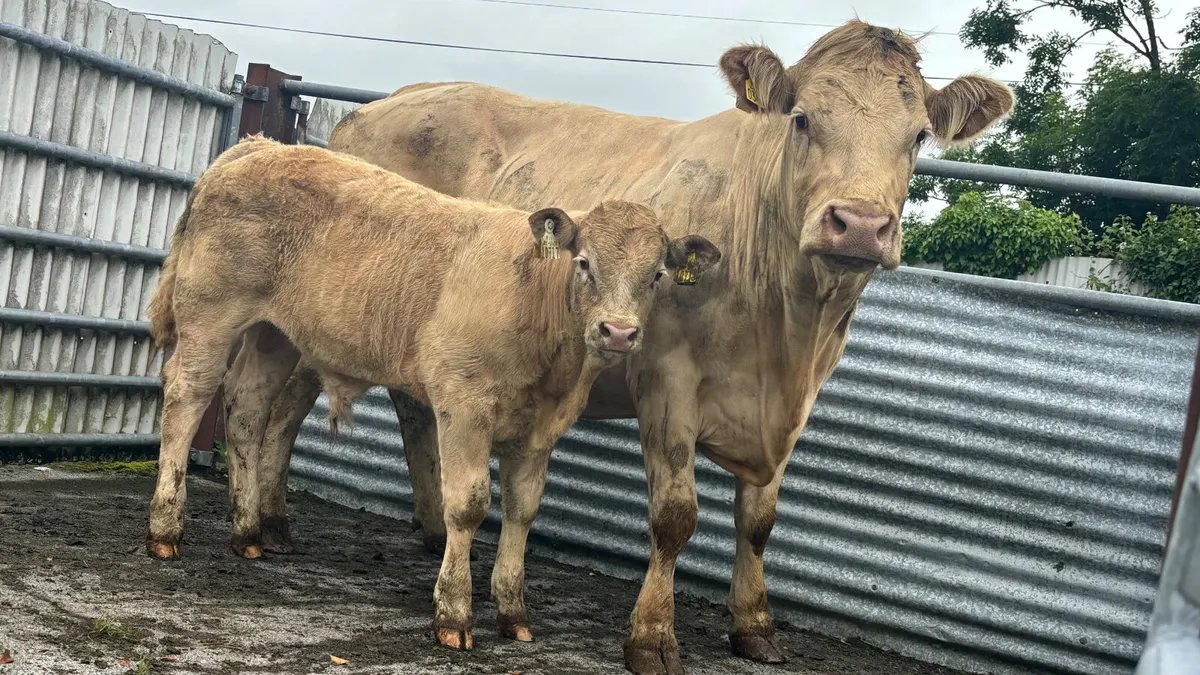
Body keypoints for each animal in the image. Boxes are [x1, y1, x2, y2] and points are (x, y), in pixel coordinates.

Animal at [142, 135, 722, 649]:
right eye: (584, 263)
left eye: (657, 275)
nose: (619, 332)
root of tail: (259, 146)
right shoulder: (463, 404)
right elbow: (466, 504)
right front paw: (454, 613)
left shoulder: (540, 430)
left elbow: (523, 511)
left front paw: (513, 611)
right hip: (211, 315)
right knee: (186, 397)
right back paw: (166, 530)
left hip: (275, 334)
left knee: (247, 408)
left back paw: (247, 534)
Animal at [239, 20, 1014, 674]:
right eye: (802, 119)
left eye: (919, 136)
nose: (859, 224)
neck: (785, 328)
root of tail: (380, 106)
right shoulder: (668, 380)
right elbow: (675, 518)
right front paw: (651, 637)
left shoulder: (795, 403)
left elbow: (759, 522)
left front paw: (754, 626)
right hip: (314, 322)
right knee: (283, 406)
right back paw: (268, 523)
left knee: (411, 412)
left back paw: (429, 529)